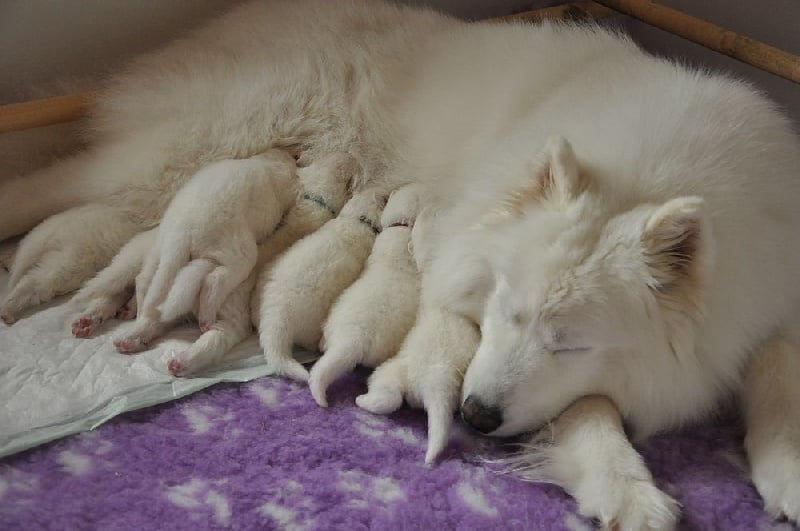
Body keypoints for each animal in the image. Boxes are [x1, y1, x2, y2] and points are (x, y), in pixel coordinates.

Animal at [113, 150, 296, 356]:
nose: (293, 156)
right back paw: (206, 316)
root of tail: (182, 232)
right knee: (216, 279)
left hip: (159, 248)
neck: (269, 161)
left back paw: (138, 316)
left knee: (144, 280)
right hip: (239, 250)